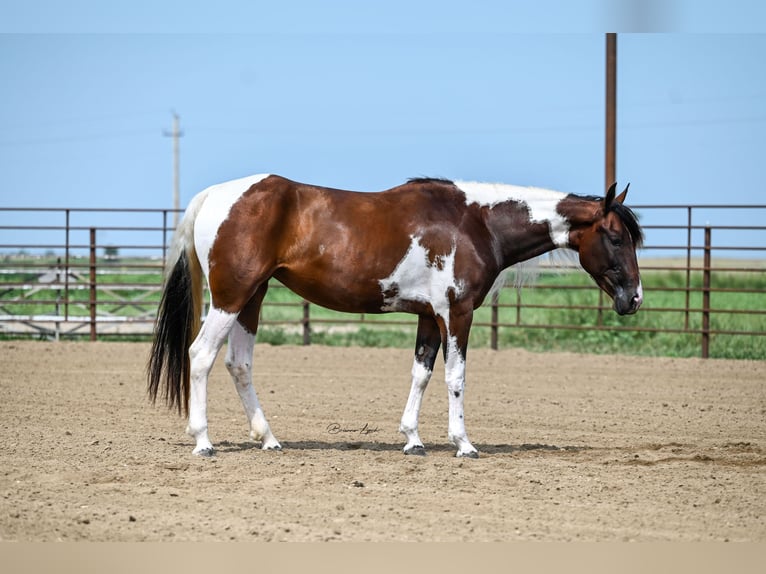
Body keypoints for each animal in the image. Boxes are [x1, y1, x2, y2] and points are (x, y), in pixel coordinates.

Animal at [147, 173, 644, 462]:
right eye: (617, 237)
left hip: (252, 298)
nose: (634, 299)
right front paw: (463, 444)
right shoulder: (456, 313)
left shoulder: (429, 316)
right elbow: (455, 377)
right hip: (232, 298)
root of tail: (216, 195)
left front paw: (413, 440)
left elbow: (421, 373)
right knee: (201, 355)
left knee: (239, 363)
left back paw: (268, 438)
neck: (476, 223)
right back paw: (203, 442)